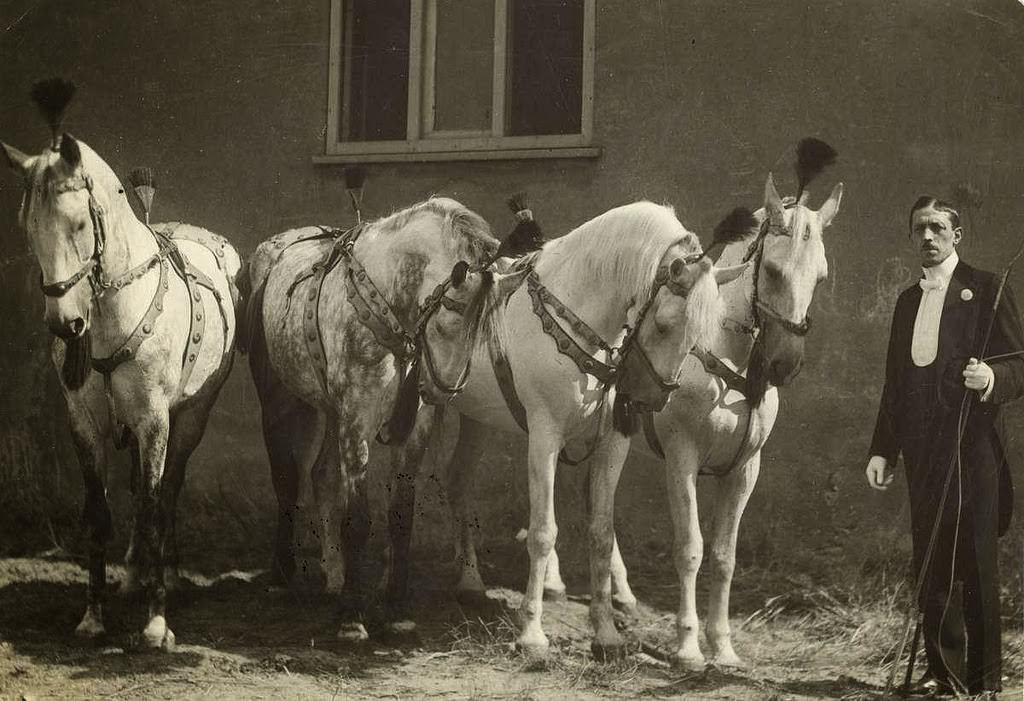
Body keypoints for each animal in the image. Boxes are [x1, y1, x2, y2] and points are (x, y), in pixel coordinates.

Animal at [1, 133, 239, 650]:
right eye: (29, 227)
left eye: (77, 223)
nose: (65, 324)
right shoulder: (85, 423)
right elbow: (99, 511)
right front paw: (93, 617)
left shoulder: (155, 420)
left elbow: (151, 506)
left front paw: (156, 622)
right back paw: (133, 575)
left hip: (190, 418)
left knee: (168, 490)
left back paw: (167, 574)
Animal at [242, 195, 503, 638]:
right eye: (451, 313)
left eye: (484, 323)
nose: (443, 391)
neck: (384, 306)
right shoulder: (356, 421)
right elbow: (358, 519)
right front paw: (351, 616)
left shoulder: (412, 427)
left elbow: (401, 515)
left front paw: (396, 606)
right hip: (284, 401)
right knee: (287, 479)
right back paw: (282, 573)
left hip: (330, 411)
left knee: (322, 475)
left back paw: (333, 573)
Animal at [389, 200, 745, 654]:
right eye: (664, 323)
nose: (651, 398)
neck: (576, 307)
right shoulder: (544, 435)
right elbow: (543, 532)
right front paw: (532, 634)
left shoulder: (613, 442)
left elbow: (602, 532)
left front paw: (606, 633)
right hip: (424, 409)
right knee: (405, 485)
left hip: (476, 417)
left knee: (457, 480)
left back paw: (470, 582)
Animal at [540, 174, 843, 667]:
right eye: (772, 270)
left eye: (820, 276)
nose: (785, 364)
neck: (723, 358)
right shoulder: (682, 458)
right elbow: (690, 549)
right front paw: (686, 646)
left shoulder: (744, 469)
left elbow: (723, 556)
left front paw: (723, 647)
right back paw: (554, 582)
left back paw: (622, 594)